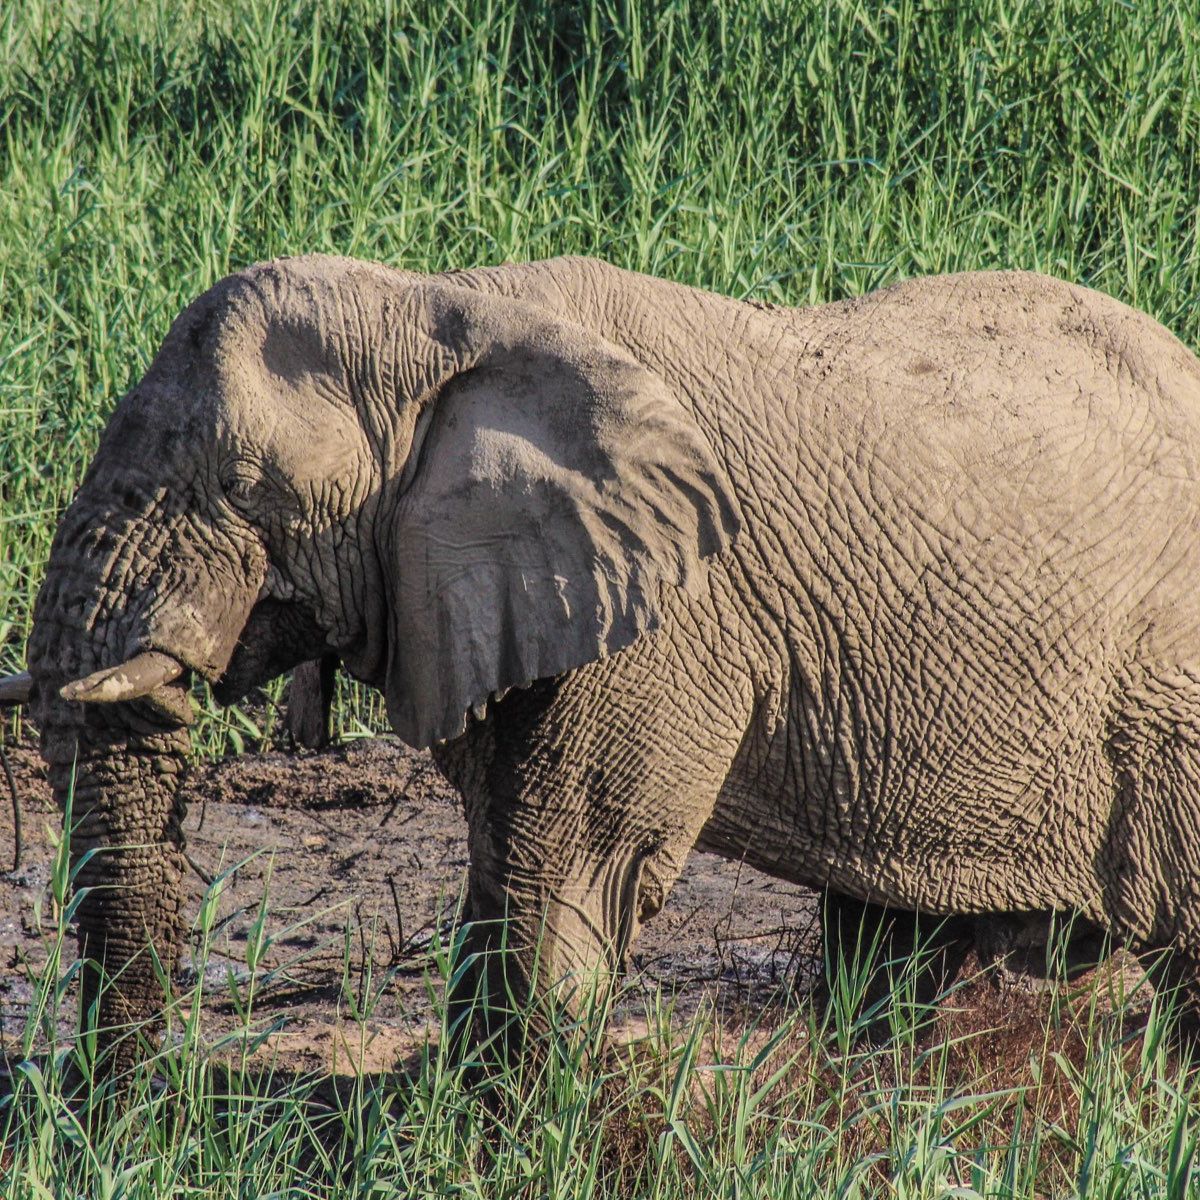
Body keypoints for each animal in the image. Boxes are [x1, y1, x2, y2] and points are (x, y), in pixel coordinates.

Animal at [5, 253, 1200, 1066]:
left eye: (243, 488)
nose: (140, 1113)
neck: (442, 310)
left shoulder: (672, 616)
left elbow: (569, 872)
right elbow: (505, 858)